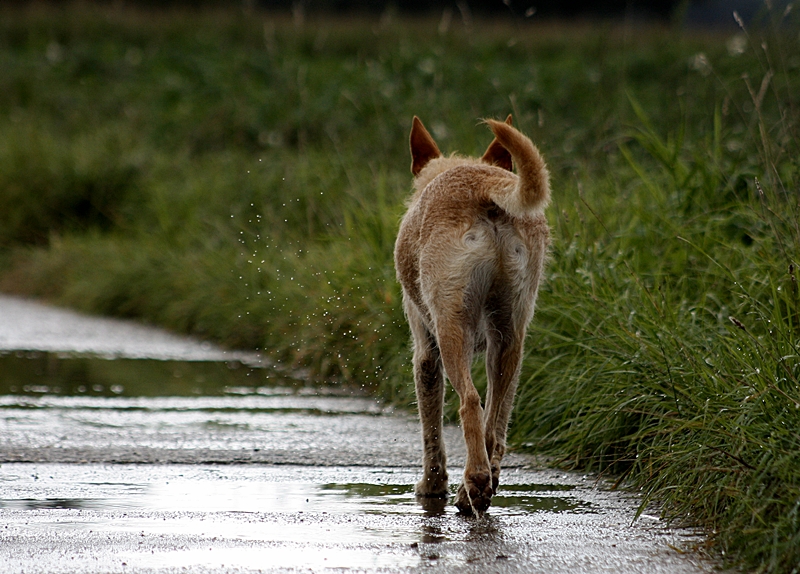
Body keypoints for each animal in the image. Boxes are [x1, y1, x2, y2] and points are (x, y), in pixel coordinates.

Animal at [394, 116, 552, 516]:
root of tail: (483, 186)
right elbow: (497, 422)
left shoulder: (426, 353)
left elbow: (432, 430)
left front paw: (432, 486)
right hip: (510, 339)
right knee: (493, 423)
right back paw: (478, 488)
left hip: (453, 331)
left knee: (470, 403)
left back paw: (475, 481)